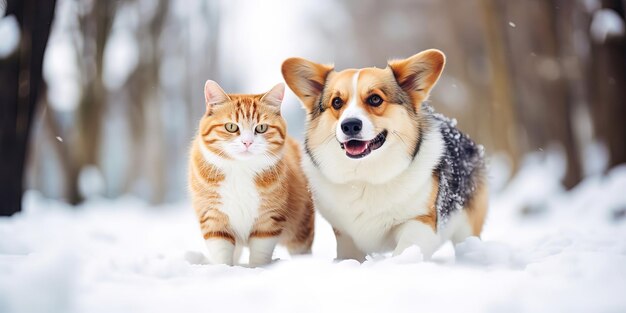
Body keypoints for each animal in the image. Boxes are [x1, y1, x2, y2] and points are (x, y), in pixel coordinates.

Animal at [185, 80, 312, 266]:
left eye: (261, 128)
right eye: (231, 127)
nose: (247, 142)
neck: (240, 169)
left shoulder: (268, 220)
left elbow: (260, 253)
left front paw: (258, 269)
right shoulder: (213, 217)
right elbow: (221, 253)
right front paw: (224, 268)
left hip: (301, 229)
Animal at [280, 48, 486, 258]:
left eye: (375, 99)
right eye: (337, 102)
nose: (350, 125)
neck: (365, 178)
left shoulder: (421, 221)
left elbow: (405, 250)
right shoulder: (344, 235)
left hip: (466, 227)